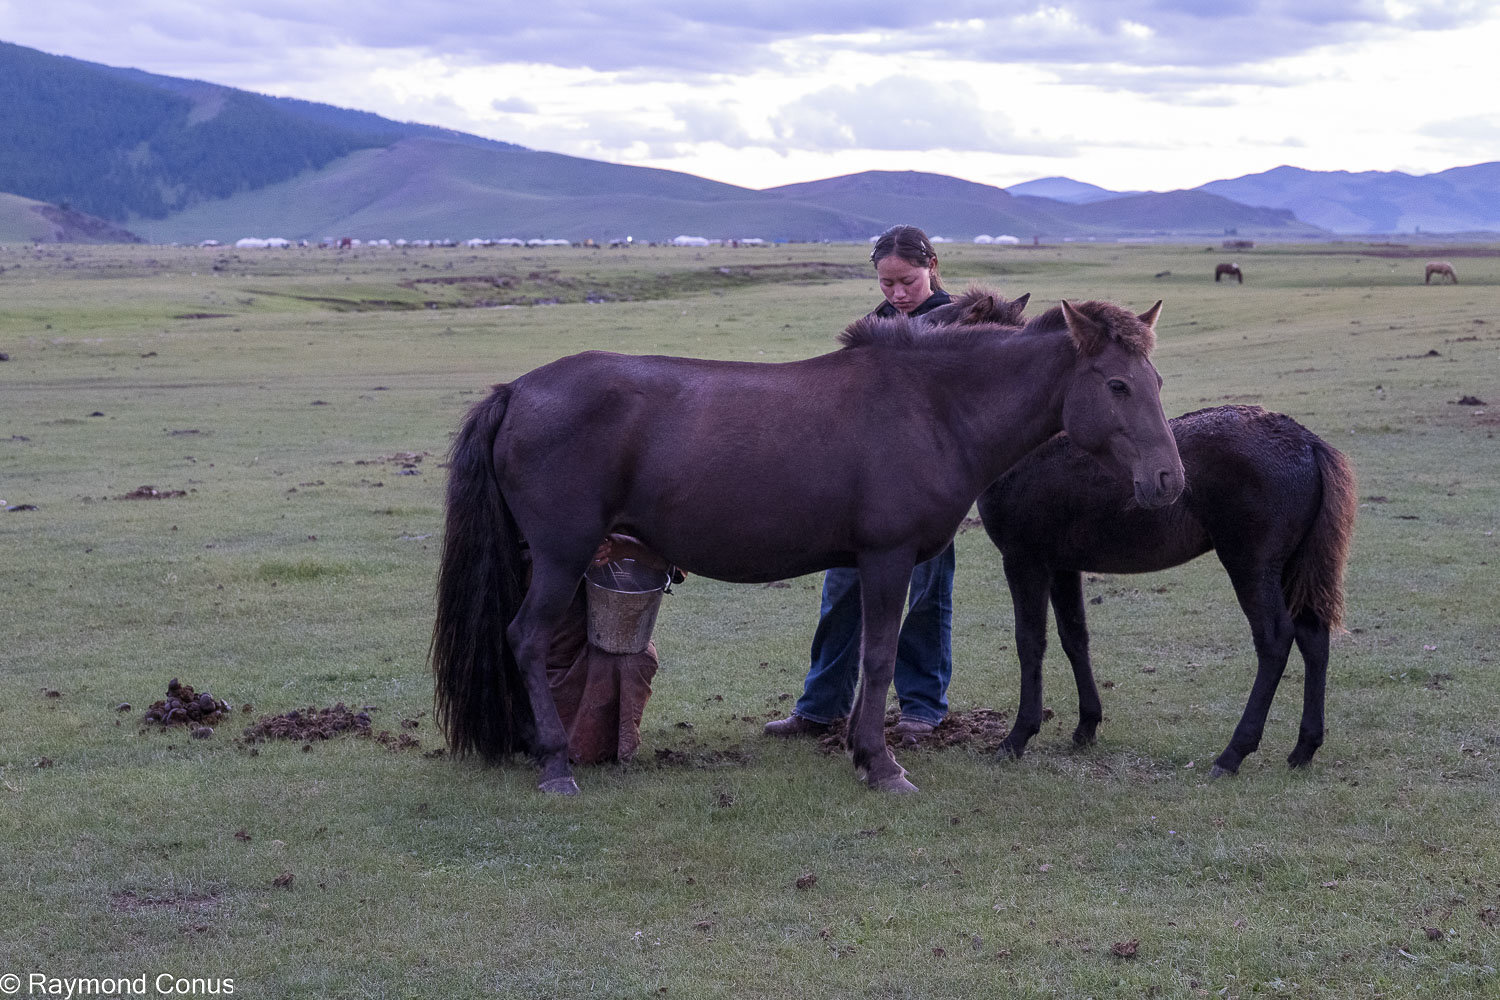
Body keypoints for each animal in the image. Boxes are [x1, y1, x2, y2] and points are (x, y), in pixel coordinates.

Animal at [431, 300, 1186, 794]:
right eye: (1117, 384)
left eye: (1157, 382)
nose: (1169, 480)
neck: (935, 406)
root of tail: (517, 390)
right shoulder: (887, 558)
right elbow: (878, 657)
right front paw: (879, 764)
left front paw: (860, 750)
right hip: (562, 556)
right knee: (526, 637)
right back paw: (556, 763)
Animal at [976, 404, 1357, 776]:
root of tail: (1305, 441)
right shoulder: (1062, 566)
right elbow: (1074, 637)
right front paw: (1087, 725)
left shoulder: (1024, 560)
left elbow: (1030, 643)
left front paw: (1017, 738)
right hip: (1292, 567)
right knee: (1313, 636)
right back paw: (1304, 749)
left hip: (1252, 565)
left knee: (1275, 640)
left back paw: (1232, 754)